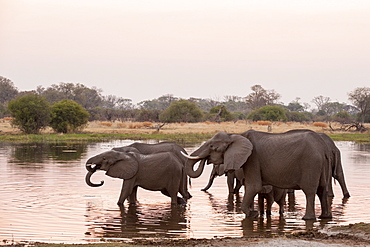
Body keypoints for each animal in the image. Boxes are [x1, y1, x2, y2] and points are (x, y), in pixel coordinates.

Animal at [182, 129, 332, 220]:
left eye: (212, 147)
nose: (206, 159)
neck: (235, 135)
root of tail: (323, 147)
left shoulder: (252, 158)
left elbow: (253, 187)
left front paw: (252, 215)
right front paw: (255, 214)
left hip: (311, 163)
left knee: (310, 191)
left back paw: (308, 218)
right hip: (322, 164)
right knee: (322, 189)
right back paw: (325, 217)